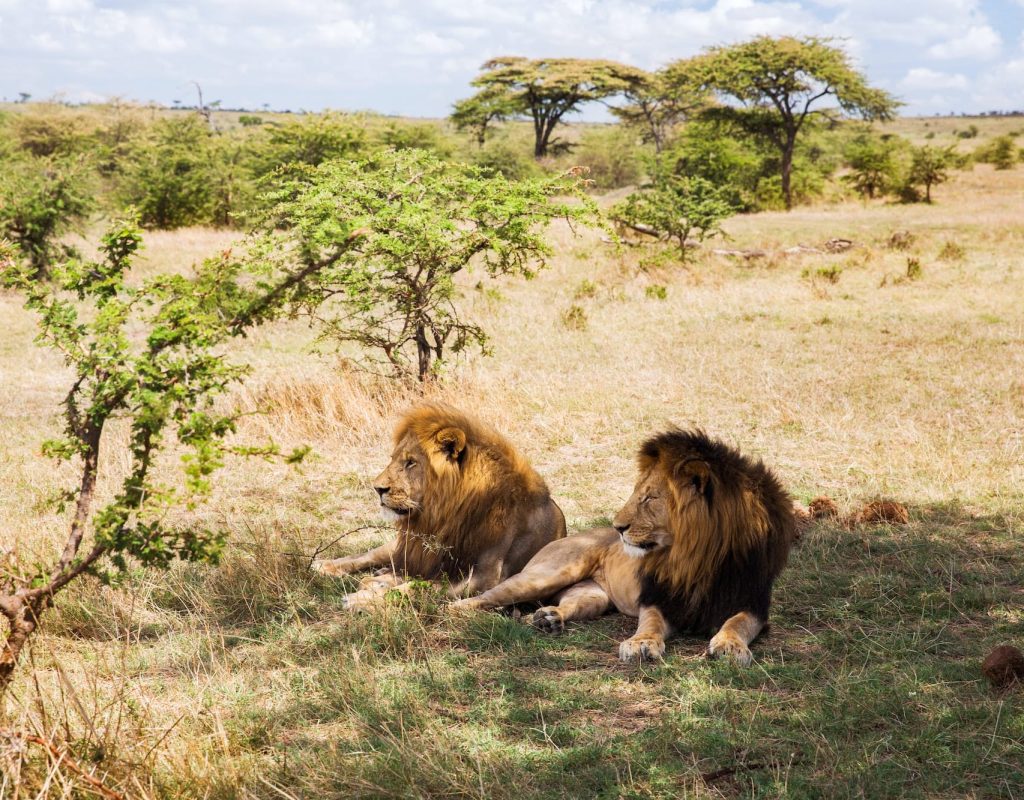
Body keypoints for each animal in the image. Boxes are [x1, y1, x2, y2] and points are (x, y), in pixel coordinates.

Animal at [314, 403, 566, 609]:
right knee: (371, 554)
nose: (377, 488)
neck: (445, 515)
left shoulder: (483, 579)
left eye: (411, 462)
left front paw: (362, 599)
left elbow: (415, 587)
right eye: (393, 459)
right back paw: (325, 565)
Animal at [454, 428, 798, 666]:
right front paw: (641, 644)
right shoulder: (658, 598)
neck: (697, 556)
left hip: (592, 596)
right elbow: (651, 622)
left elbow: (737, 623)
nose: (618, 527)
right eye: (639, 494)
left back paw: (548, 619)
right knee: (476, 599)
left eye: (650, 498)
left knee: (567, 605)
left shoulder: (752, 603)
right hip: (548, 574)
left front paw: (730, 645)